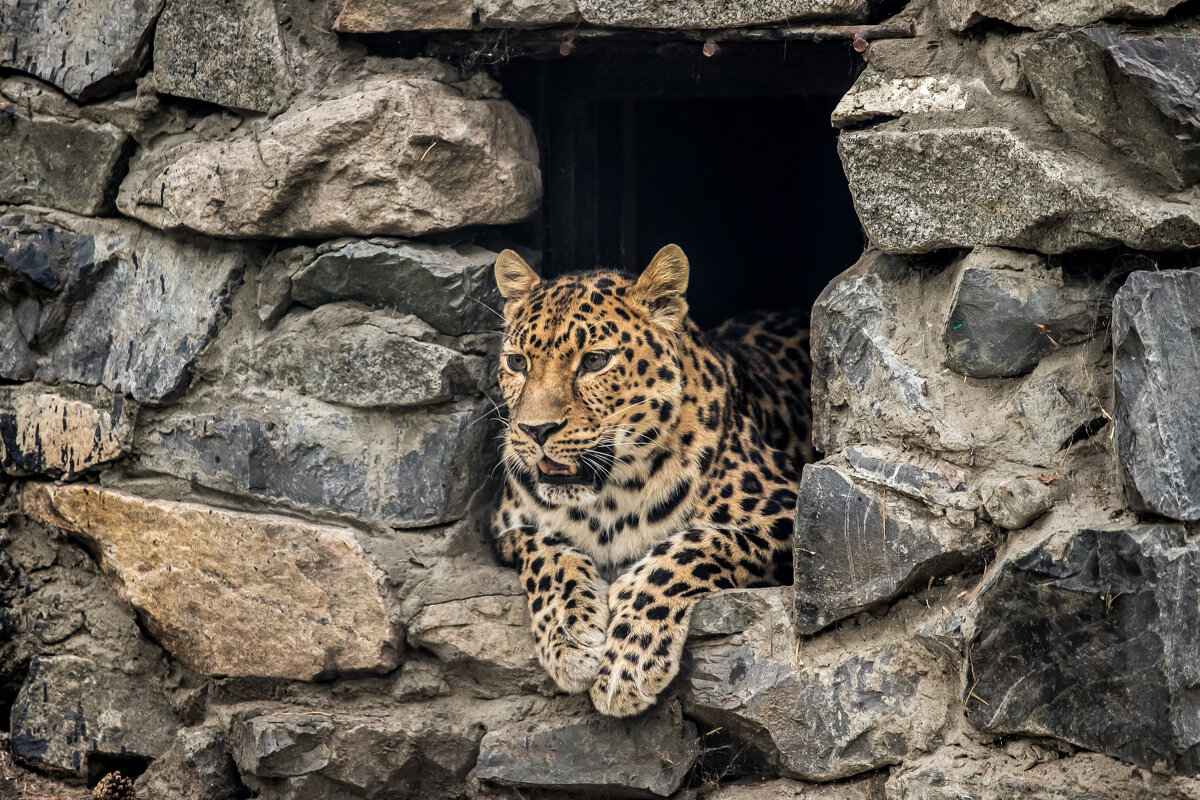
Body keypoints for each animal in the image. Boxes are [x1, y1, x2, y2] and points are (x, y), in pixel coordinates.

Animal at [487, 245, 816, 719]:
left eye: (595, 360)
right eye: (517, 362)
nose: (535, 430)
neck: (607, 500)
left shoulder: (791, 510)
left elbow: (692, 549)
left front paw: (629, 664)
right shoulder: (507, 525)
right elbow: (545, 553)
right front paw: (570, 639)